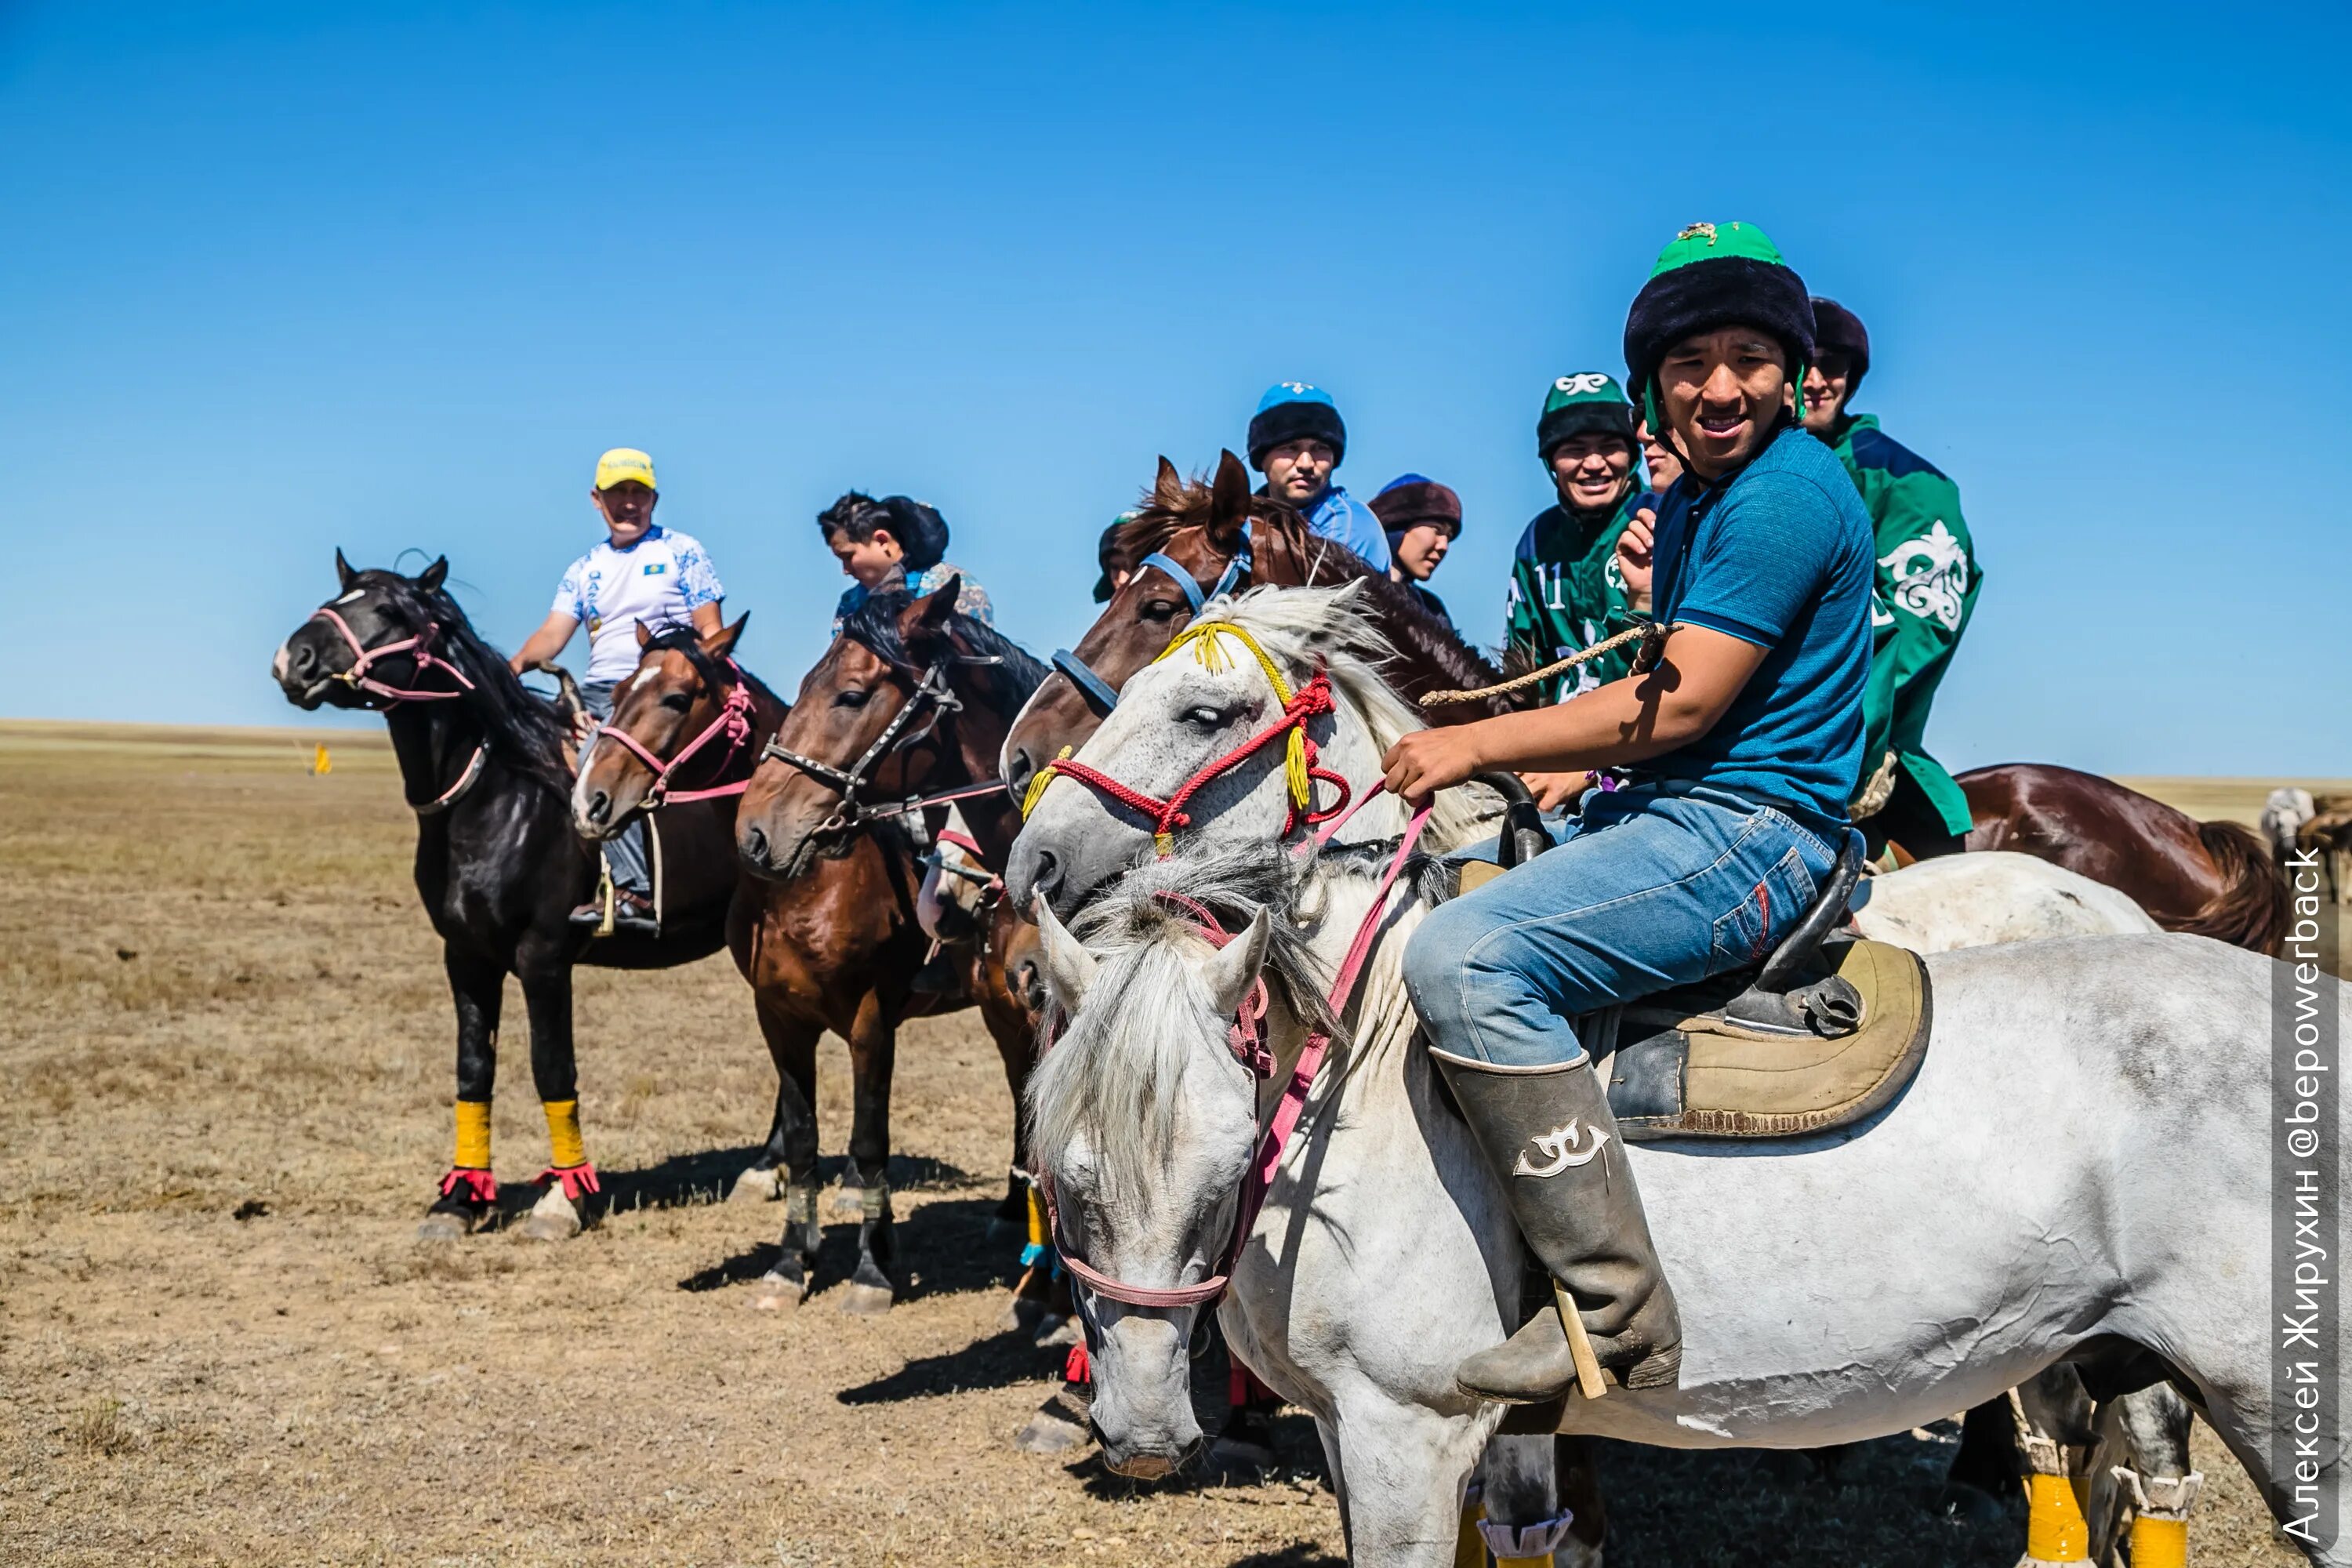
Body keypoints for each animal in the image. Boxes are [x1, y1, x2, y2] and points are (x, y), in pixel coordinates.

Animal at [280, 552, 748, 1241]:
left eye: (389, 611)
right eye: (338, 596)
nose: (296, 658)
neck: (494, 798)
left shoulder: (543, 956)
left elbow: (553, 1068)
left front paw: (566, 1198)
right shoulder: (466, 956)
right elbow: (475, 1070)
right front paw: (460, 1198)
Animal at [701, 583, 1054, 1316]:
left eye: (853, 695)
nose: (757, 832)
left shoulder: (870, 1021)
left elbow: (868, 1140)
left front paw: (872, 1271)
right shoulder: (778, 1019)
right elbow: (804, 1139)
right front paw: (790, 1264)